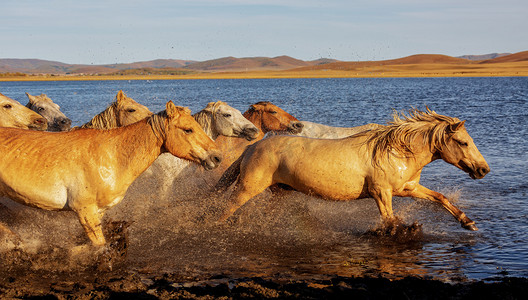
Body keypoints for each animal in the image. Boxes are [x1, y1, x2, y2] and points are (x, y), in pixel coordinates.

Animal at [214, 108, 490, 230]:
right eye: (463, 142)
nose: (483, 170)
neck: (395, 152)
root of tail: (252, 147)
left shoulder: (408, 189)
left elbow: (440, 198)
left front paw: (468, 222)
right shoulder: (382, 193)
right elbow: (390, 219)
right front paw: (407, 229)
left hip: (279, 192)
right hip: (247, 188)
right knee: (223, 210)